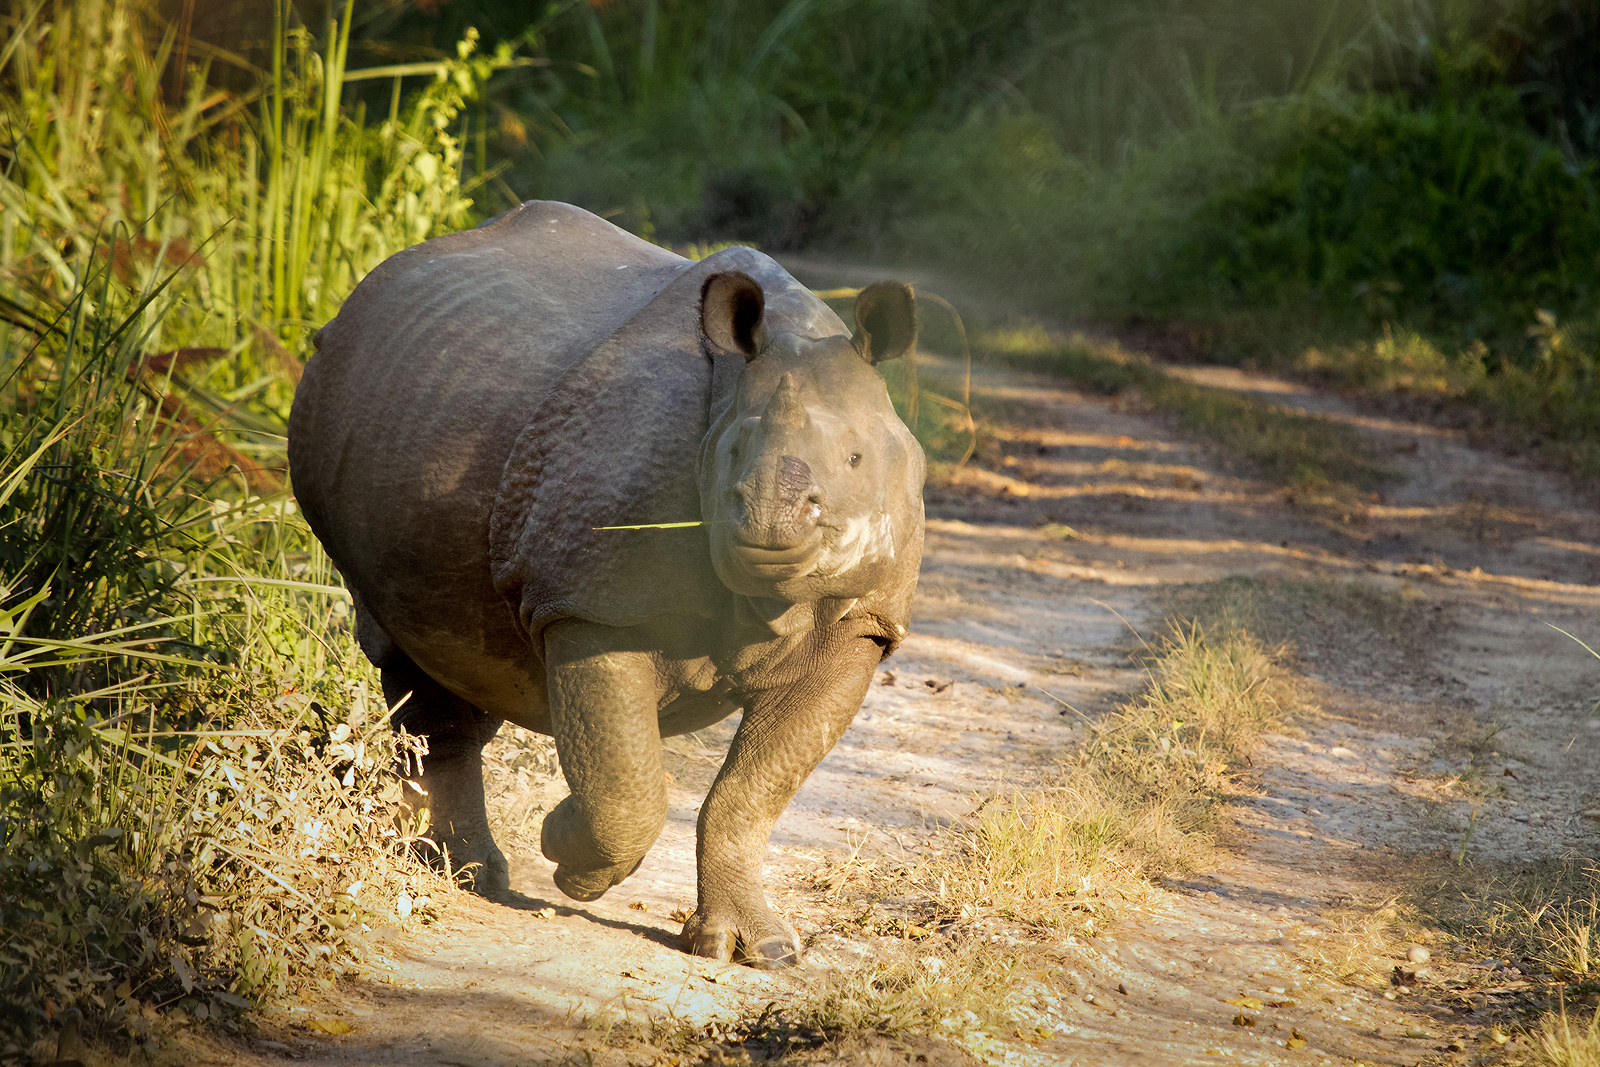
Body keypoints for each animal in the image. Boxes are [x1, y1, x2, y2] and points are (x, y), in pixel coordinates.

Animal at [287, 201, 924, 968]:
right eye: (732, 452)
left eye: (857, 459)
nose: (769, 517)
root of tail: (371, 290)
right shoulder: (593, 603)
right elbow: (626, 784)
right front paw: (568, 852)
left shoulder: (862, 625)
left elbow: (751, 794)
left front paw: (760, 951)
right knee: (411, 652)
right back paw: (467, 874)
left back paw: (465, 870)